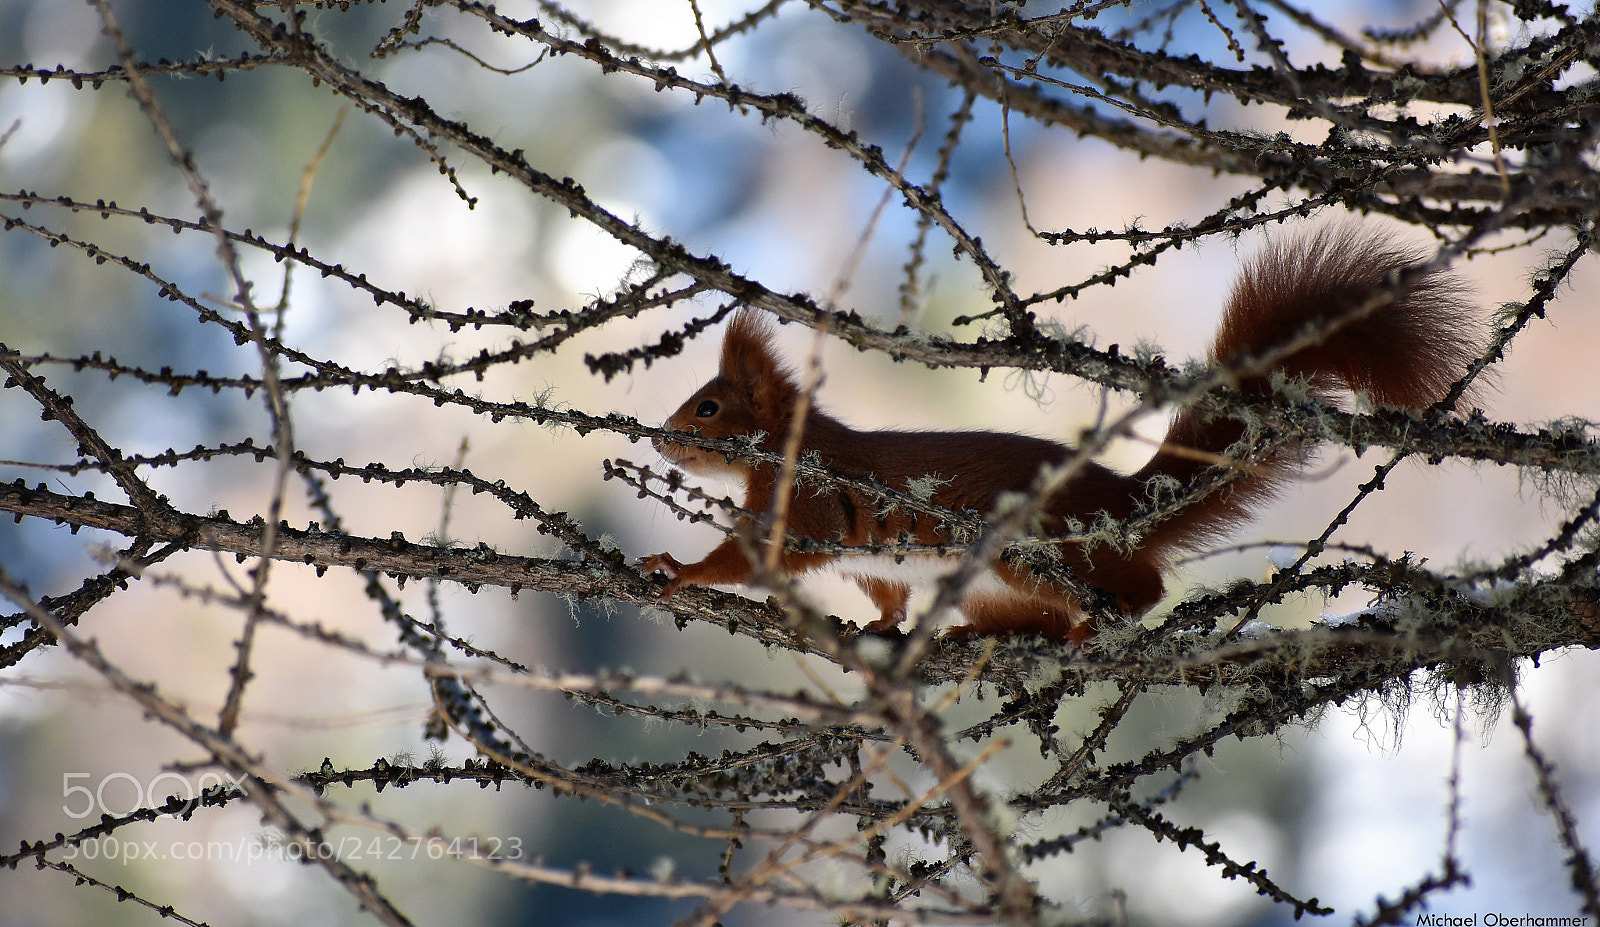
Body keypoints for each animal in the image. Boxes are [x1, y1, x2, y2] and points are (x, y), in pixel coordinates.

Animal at [637, 227, 1483, 641]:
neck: (785, 444)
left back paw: (1099, 623)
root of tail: (1123, 501)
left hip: (1042, 551)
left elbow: (754, 556)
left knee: (1142, 584)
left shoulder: (803, 496)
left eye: (708, 409)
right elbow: (887, 594)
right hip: (998, 587)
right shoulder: (867, 555)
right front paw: (880, 626)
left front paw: (677, 568)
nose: (658, 438)